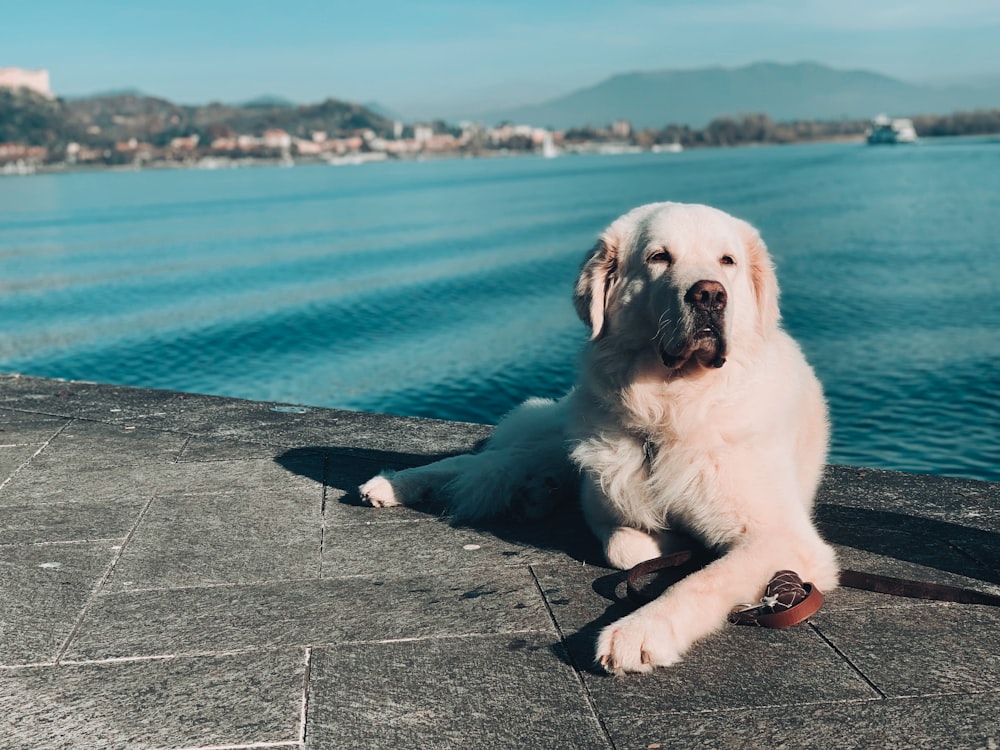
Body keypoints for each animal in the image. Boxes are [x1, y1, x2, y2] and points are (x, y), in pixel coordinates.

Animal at [364, 204, 840, 676]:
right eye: (659, 257)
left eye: (728, 261)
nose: (709, 295)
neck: (671, 411)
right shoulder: (606, 503)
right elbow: (622, 547)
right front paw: (667, 546)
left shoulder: (781, 538)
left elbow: (703, 580)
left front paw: (642, 630)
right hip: (562, 436)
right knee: (483, 462)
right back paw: (394, 484)